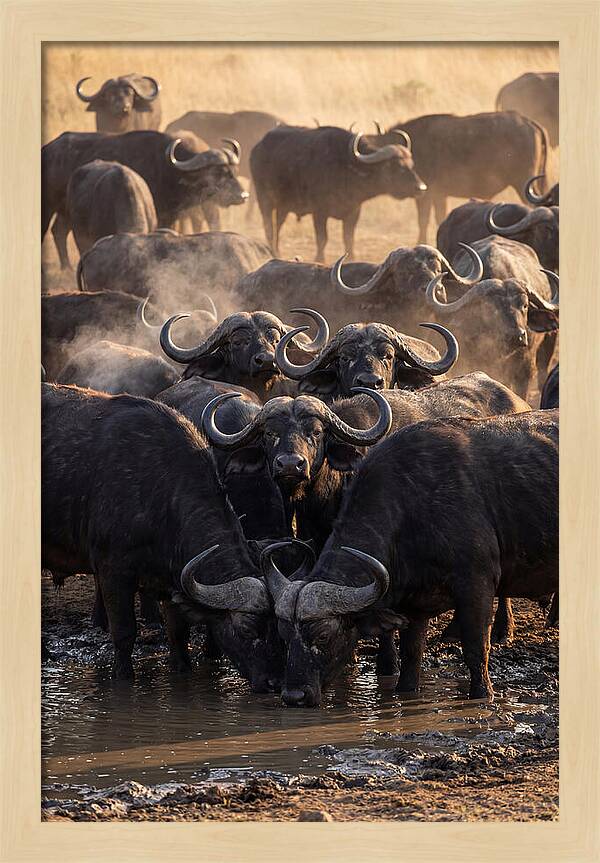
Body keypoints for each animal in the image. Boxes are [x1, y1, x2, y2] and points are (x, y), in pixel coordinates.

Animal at [250, 125, 426, 261]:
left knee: (278, 225)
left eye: (411, 164)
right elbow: (322, 238)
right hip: (264, 199)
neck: (347, 167)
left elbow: (349, 238)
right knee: (269, 227)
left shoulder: (354, 211)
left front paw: (352, 257)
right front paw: (319, 258)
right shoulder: (319, 212)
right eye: (395, 166)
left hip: (283, 206)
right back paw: (273, 252)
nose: (421, 187)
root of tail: (256, 149)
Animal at [262, 409, 558, 706]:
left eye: (323, 636)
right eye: (283, 635)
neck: (412, 508)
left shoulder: (477, 584)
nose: (294, 695)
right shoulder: (414, 605)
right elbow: (411, 655)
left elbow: (476, 649)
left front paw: (483, 695)